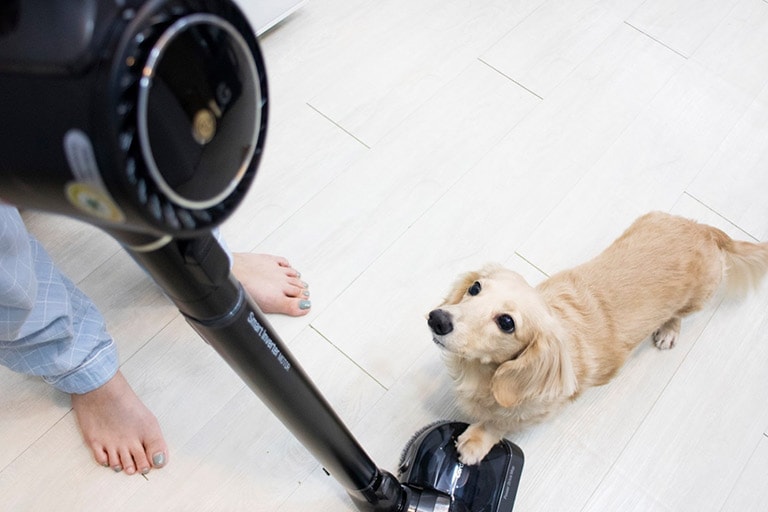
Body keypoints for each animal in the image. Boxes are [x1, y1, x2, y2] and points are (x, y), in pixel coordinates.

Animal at [428, 212, 768, 464]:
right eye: (475, 288)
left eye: (507, 322)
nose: (437, 319)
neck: (483, 372)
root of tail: (705, 230)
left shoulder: (537, 411)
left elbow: (502, 422)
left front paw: (476, 440)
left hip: (696, 300)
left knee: (679, 315)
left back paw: (668, 331)